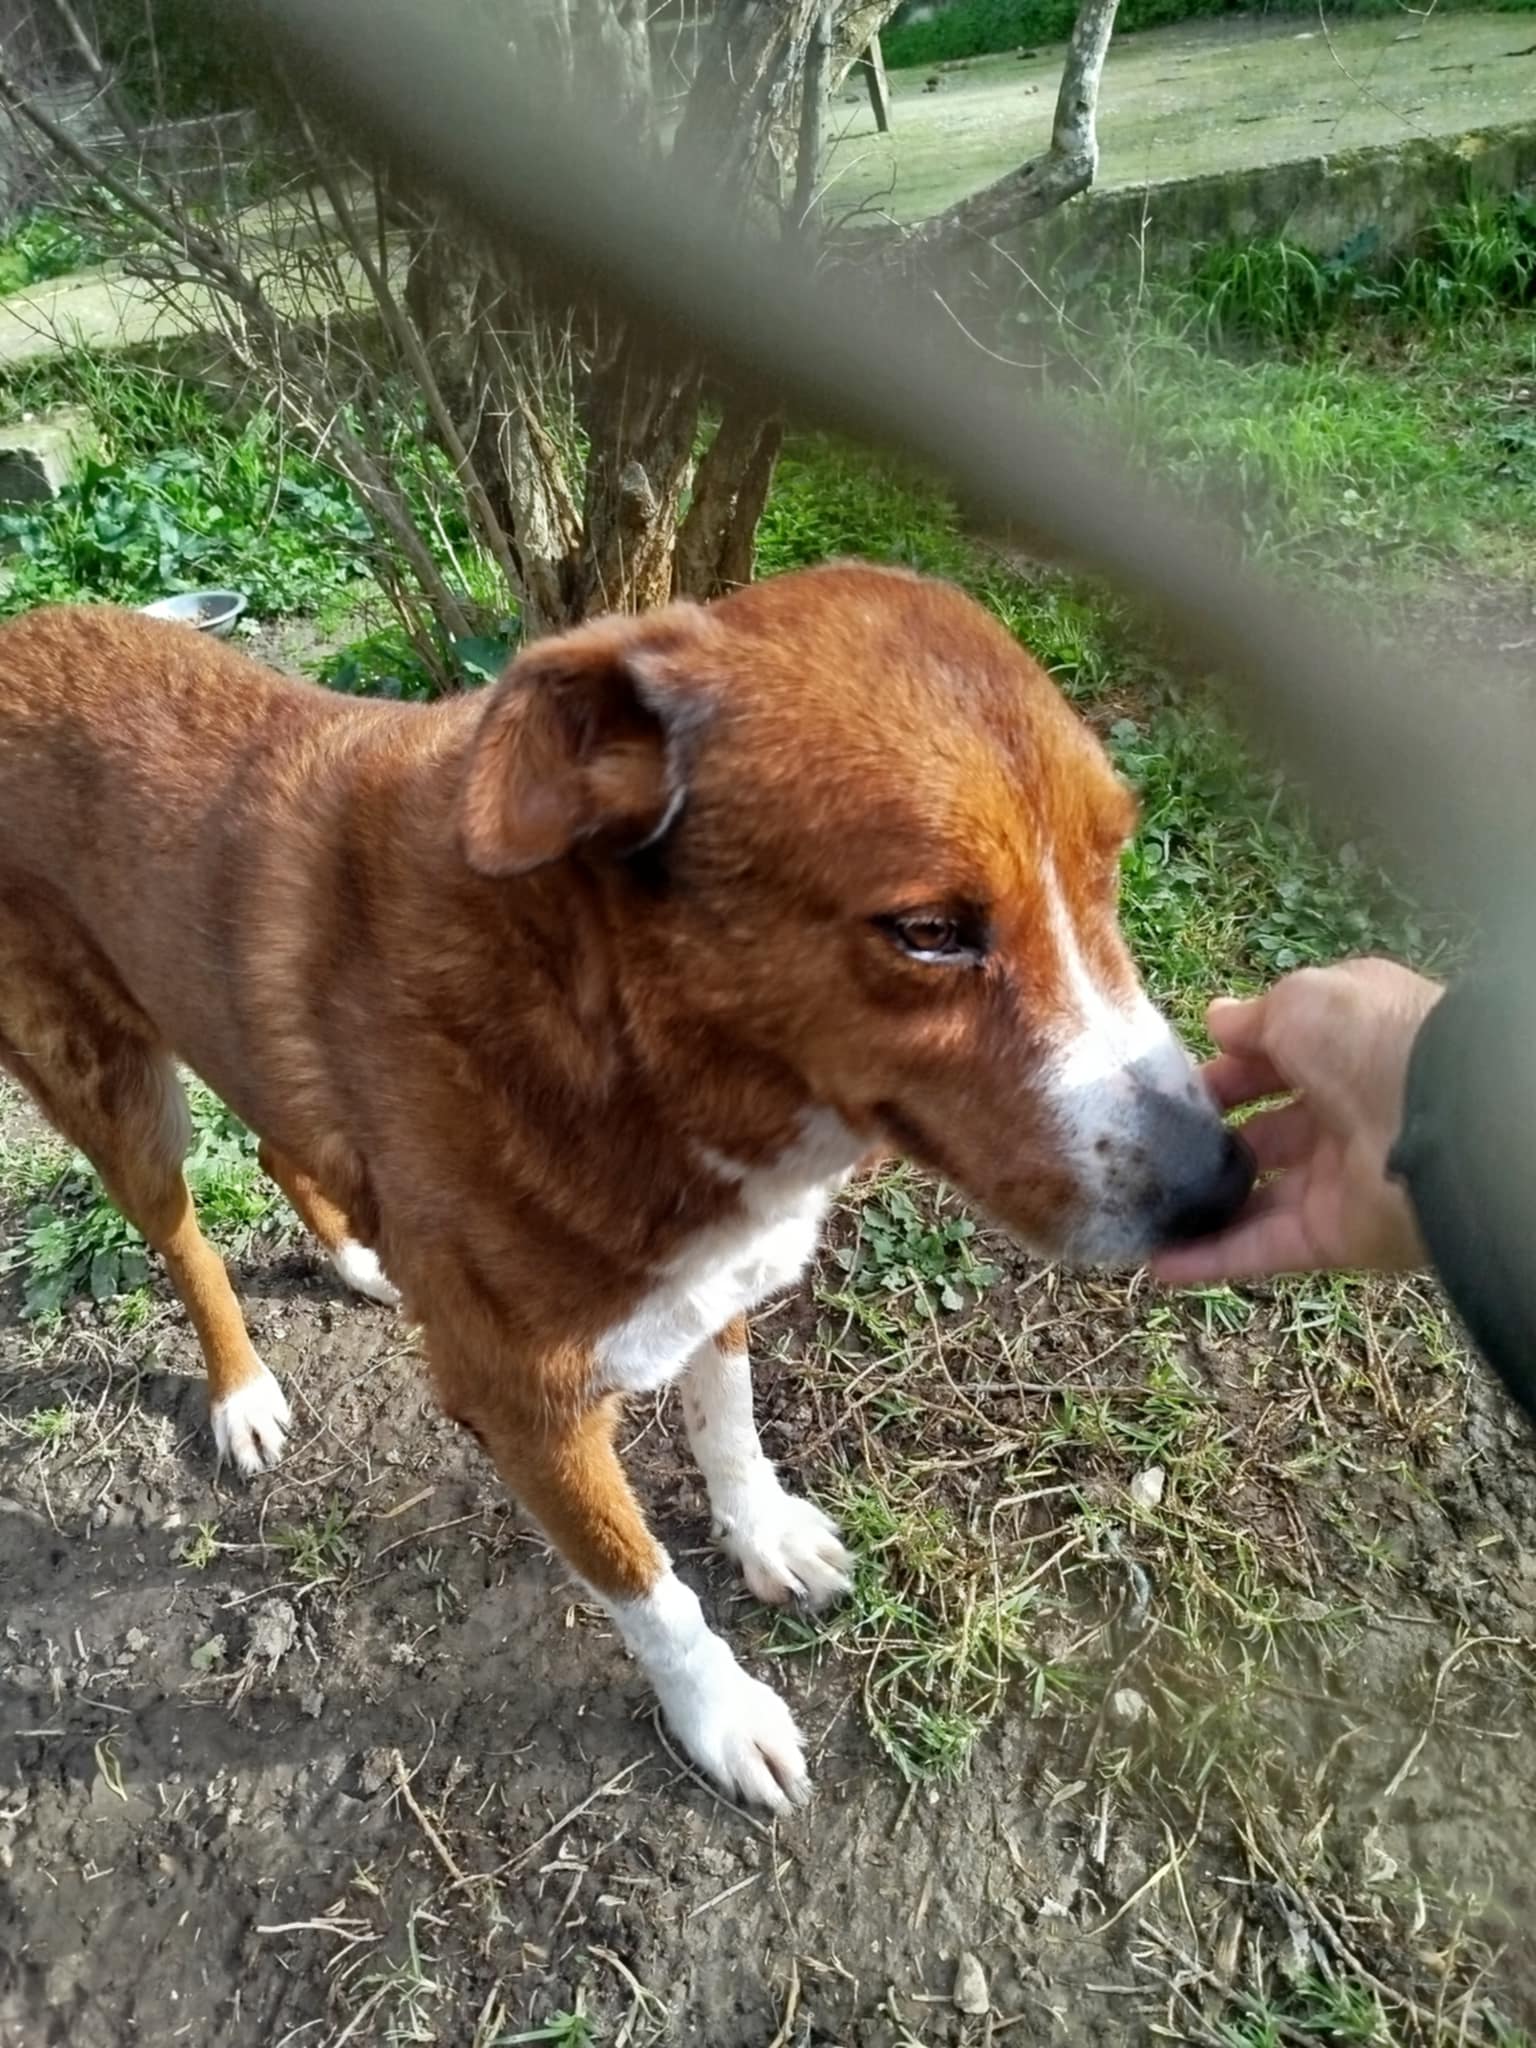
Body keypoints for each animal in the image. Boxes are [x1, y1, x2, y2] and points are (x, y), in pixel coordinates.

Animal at [0, 563, 1250, 1810]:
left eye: (1112, 865)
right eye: (930, 930)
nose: (1224, 1181)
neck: (624, 1041)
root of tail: (24, 631)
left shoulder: (716, 1281)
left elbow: (728, 1424)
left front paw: (763, 1531)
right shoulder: (528, 1411)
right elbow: (649, 1588)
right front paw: (721, 1711)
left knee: (275, 1143)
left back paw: (358, 1256)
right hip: (109, 1088)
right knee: (178, 1230)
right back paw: (242, 1390)